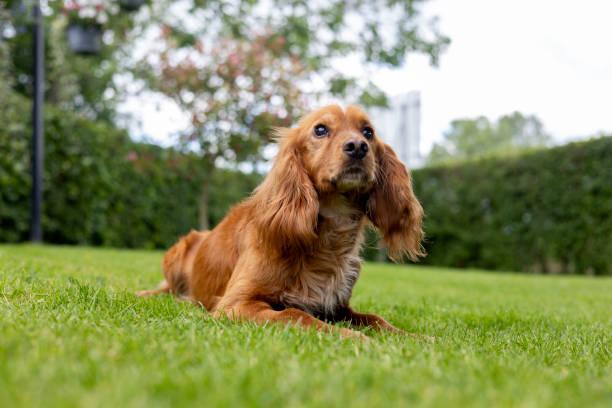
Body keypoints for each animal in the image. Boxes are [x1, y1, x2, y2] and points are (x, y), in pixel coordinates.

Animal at [140, 105, 426, 338]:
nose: (358, 147)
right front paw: (352, 337)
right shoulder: (235, 304)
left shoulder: (337, 307)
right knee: (167, 289)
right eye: (320, 130)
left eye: (368, 132)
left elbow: (376, 319)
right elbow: (296, 314)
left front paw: (416, 338)